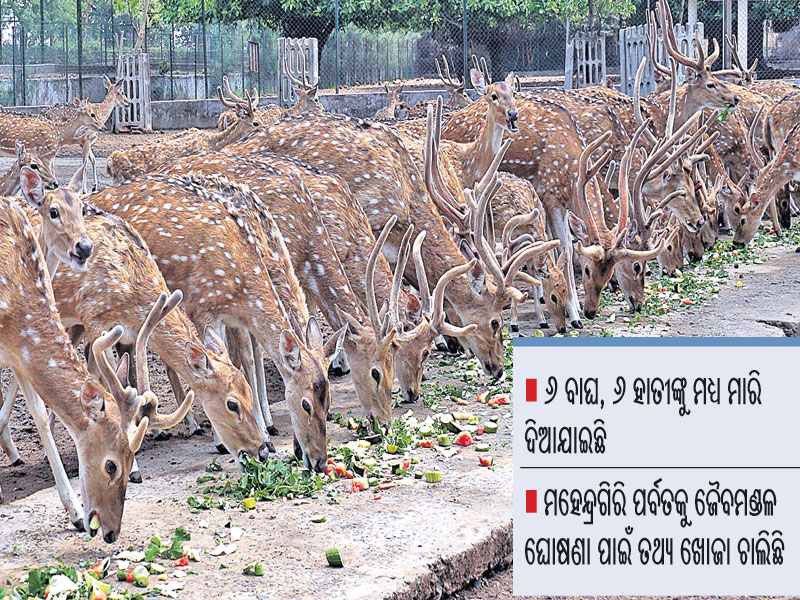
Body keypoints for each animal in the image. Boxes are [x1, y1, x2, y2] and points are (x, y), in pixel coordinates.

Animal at [88, 172, 344, 472]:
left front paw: (265, 435)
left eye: (329, 402)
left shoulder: (234, 317)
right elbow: (227, 363)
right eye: (306, 404)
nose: (318, 461)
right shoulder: (203, 306)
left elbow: (244, 359)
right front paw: (228, 441)